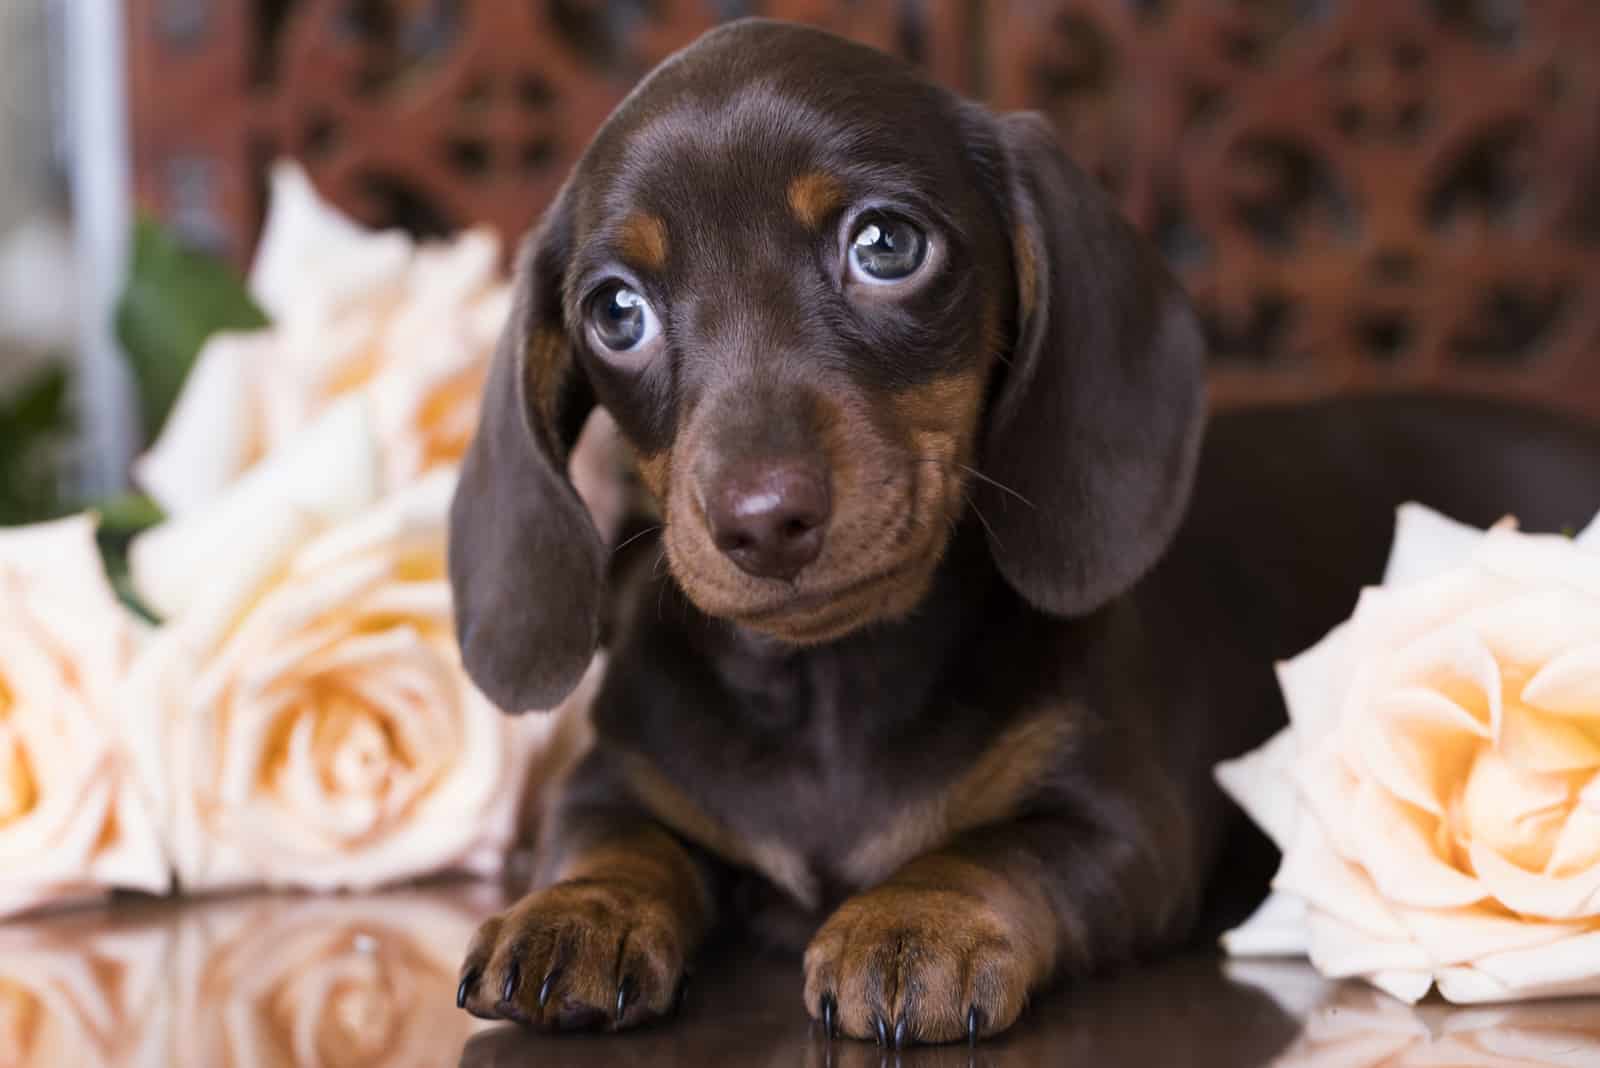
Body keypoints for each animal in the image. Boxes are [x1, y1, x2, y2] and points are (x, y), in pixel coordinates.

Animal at [444, 16, 1600, 1048]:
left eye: (886, 244)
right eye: (615, 311)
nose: (763, 522)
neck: (831, 690)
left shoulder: (1122, 823)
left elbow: (994, 851)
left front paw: (914, 922)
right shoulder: (615, 777)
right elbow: (612, 839)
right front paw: (575, 912)